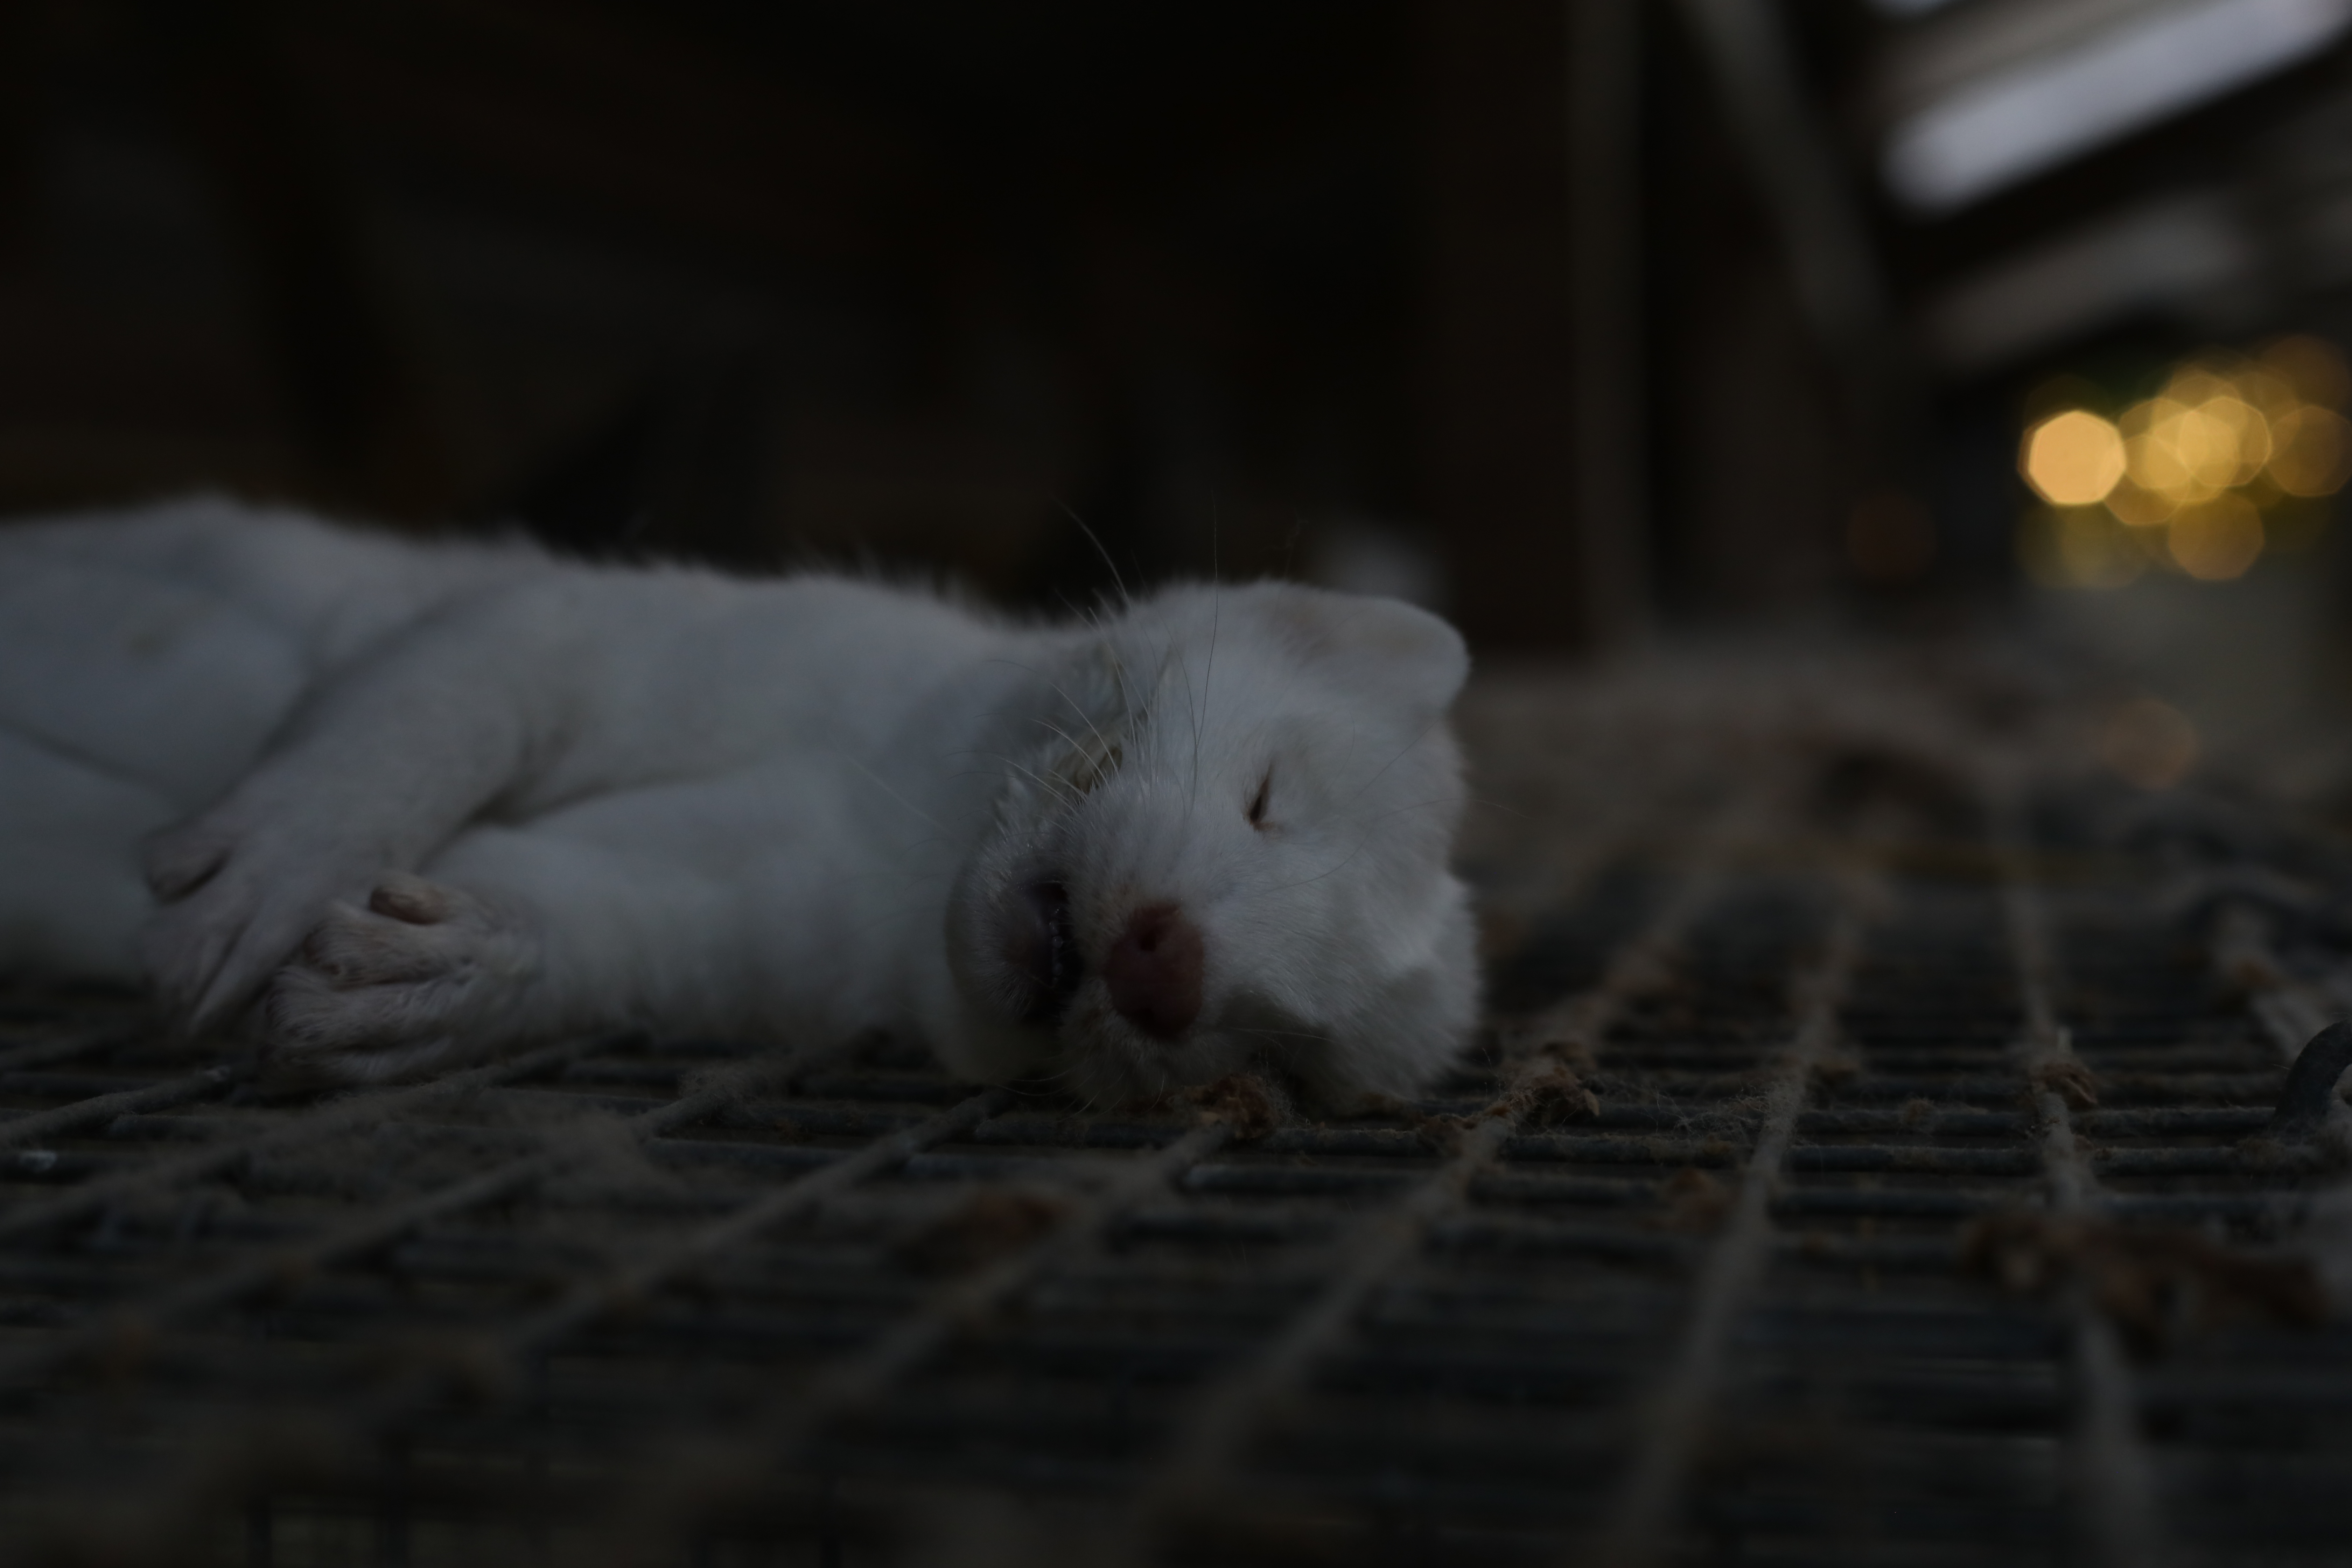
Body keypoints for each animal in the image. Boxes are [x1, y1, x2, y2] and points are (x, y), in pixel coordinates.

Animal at [0, 497, 1479, 1106]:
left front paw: (413, 981)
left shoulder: (743, 918)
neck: (890, 838)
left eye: (1278, 1049)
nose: (1167, 964)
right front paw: (252, 882)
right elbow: (444, 696)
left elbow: (589, 914)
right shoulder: (634, 639)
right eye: (1267, 798)